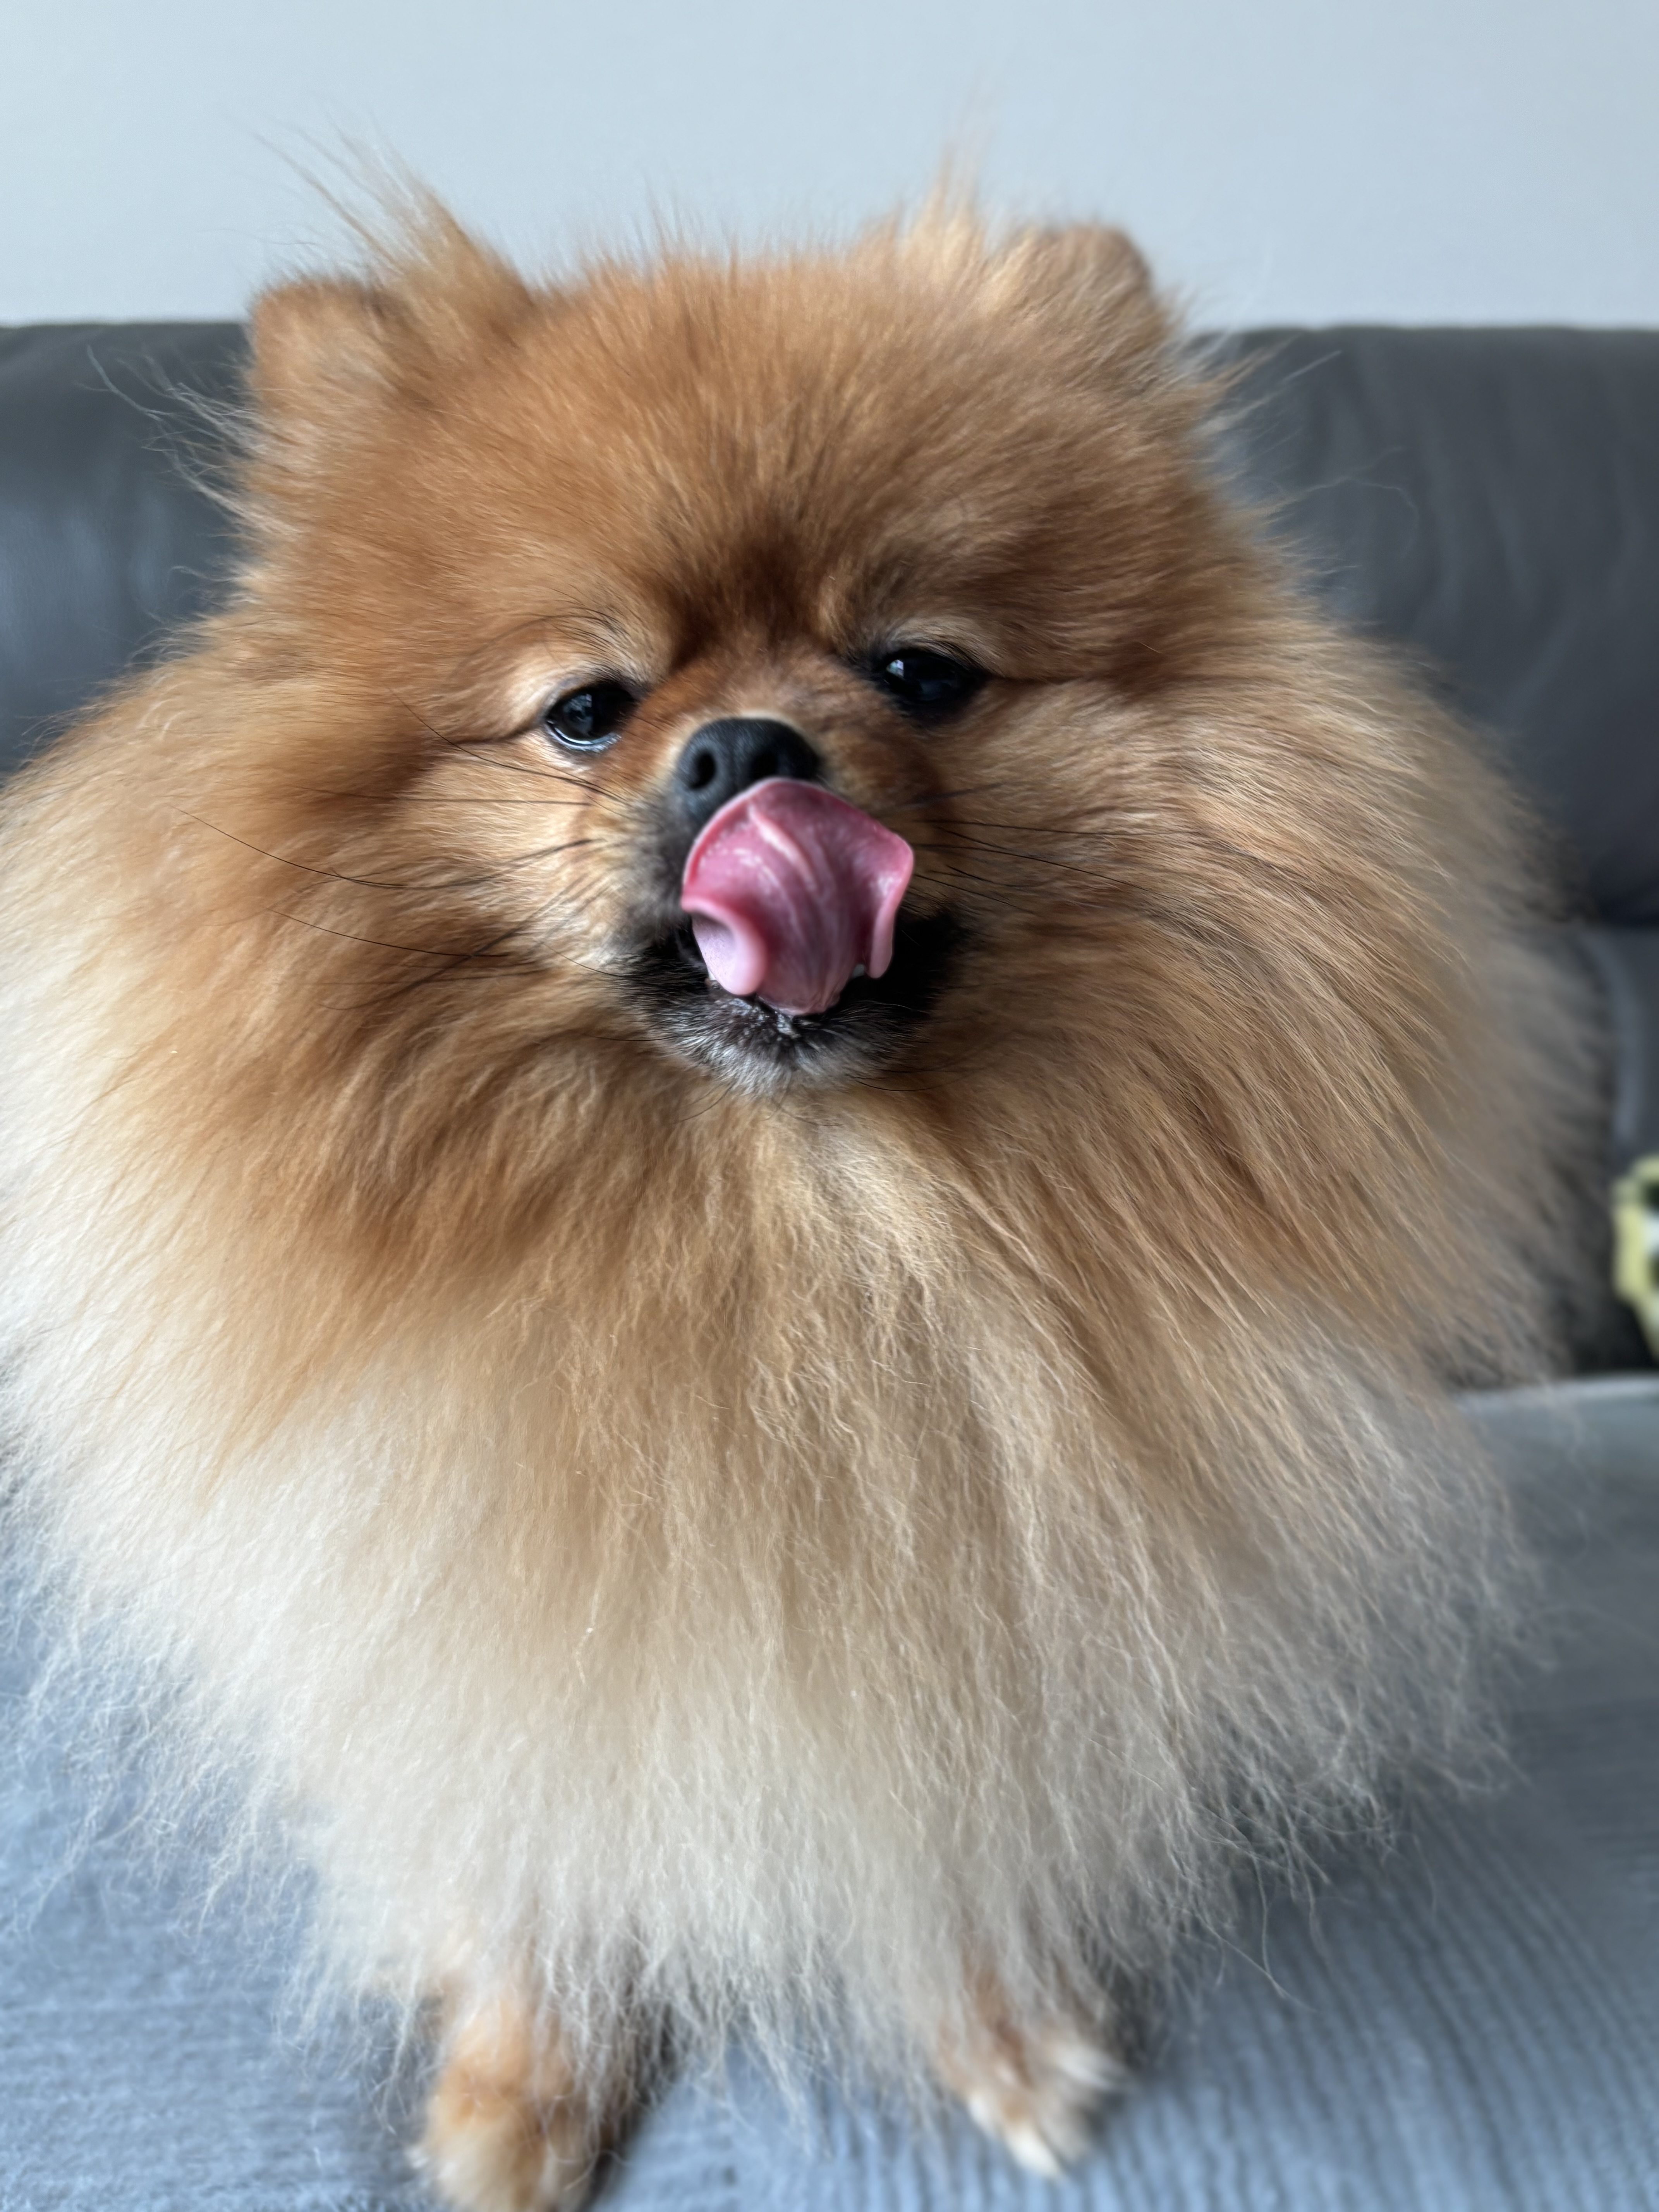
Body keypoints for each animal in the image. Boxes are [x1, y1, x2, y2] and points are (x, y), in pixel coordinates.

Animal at [0, 203, 1584, 2208]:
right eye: (586, 713)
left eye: (918, 672)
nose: (751, 744)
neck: (803, 1234)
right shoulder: (486, 1610)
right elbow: (536, 1868)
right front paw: (523, 2096)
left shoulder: (1000, 1601)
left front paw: (1003, 2037)